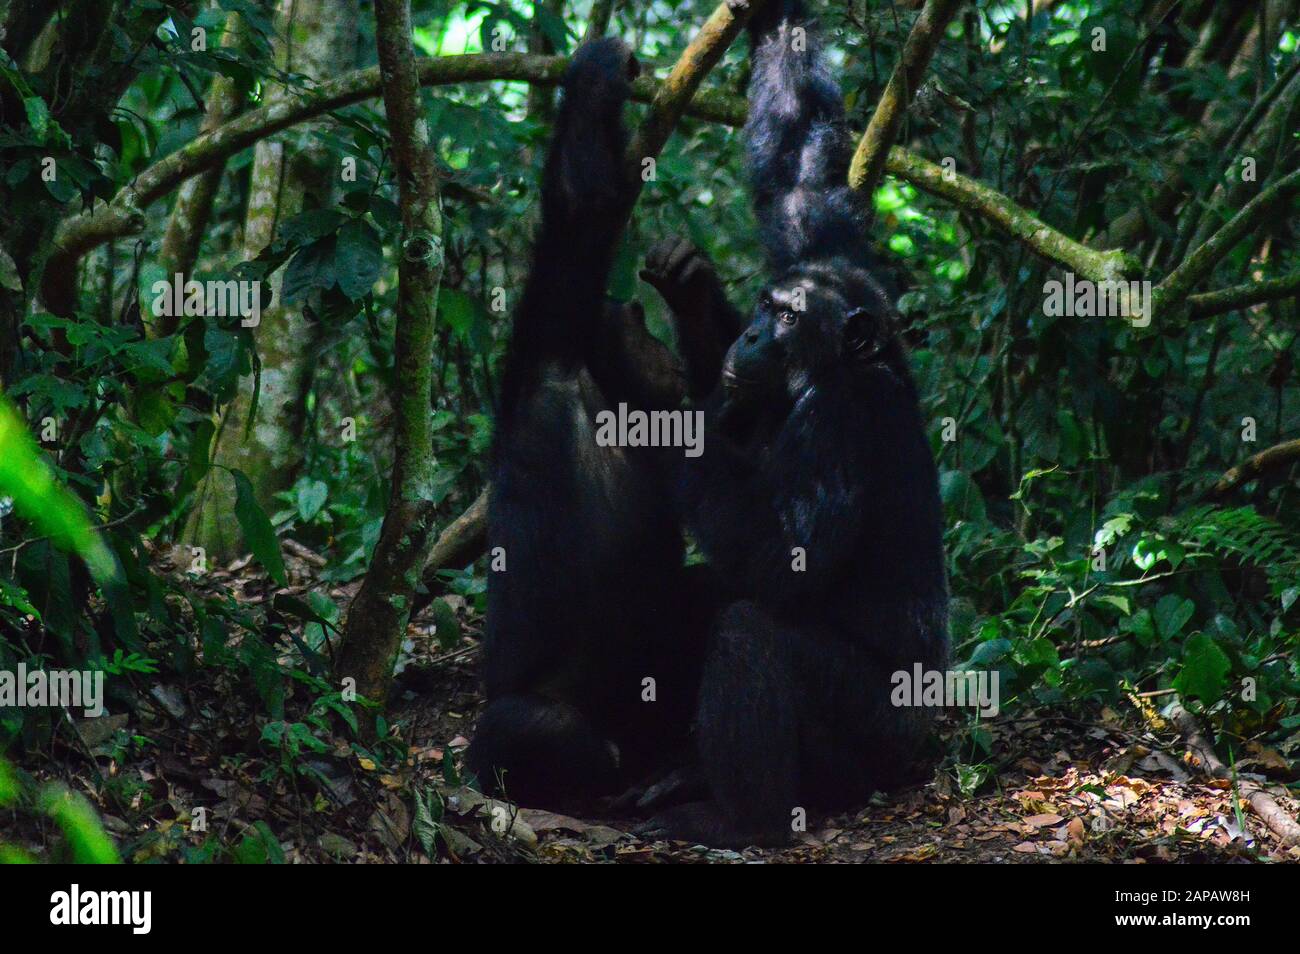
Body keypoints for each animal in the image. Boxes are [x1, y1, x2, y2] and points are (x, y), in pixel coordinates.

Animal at [470, 39, 733, 816]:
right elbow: (582, 208)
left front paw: (691, 285)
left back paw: (684, 767)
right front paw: (598, 67)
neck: (608, 401)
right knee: (524, 726)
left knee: (707, 595)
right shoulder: (547, 355)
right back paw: (611, 778)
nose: (663, 350)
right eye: (636, 323)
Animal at [634, 1, 951, 852]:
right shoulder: (829, 251)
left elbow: (785, 557)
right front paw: (689, 287)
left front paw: (666, 413)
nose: (748, 335)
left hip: (873, 736)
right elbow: (800, 172)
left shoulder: (837, 425)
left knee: (749, 627)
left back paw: (738, 817)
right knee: (704, 590)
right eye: (767, 304)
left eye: (784, 319)